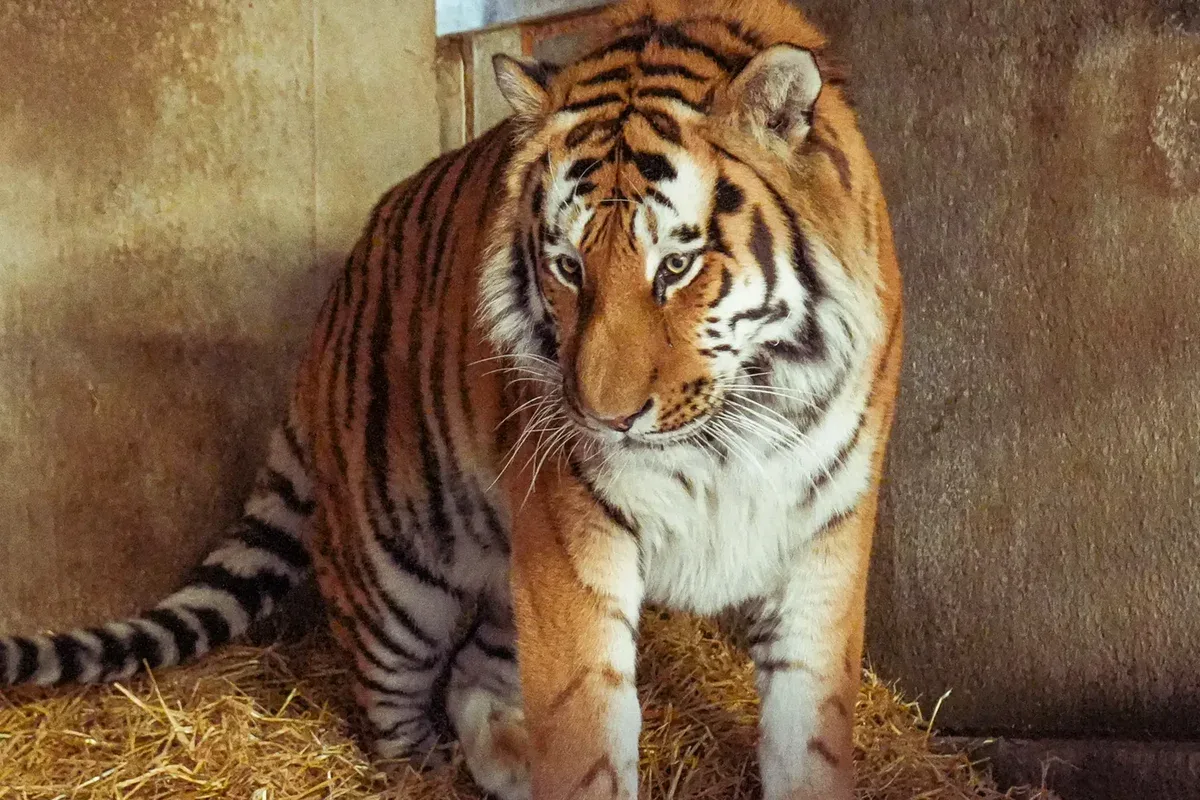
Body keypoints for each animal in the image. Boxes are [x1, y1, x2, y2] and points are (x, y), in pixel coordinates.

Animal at [0, 0, 903, 797]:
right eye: (567, 267)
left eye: (676, 267)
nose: (602, 418)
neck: (734, 430)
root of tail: (325, 322)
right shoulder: (572, 544)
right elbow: (587, 744)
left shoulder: (822, 535)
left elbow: (810, 738)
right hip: (400, 573)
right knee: (390, 704)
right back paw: (432, 767)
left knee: (475, 671)